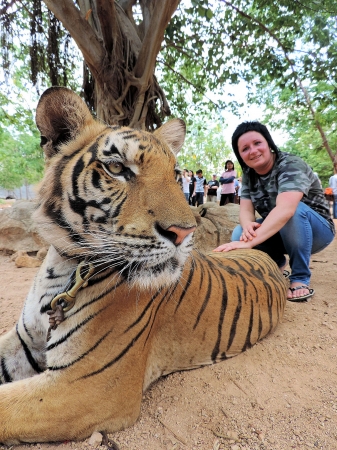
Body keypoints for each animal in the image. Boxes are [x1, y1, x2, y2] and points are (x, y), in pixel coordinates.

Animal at [0, 86, 286, 444]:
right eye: (117, 167)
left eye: (175, 175)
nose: (185, 231)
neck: (63, 265)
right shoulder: (25, 342)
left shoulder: (85, 386)